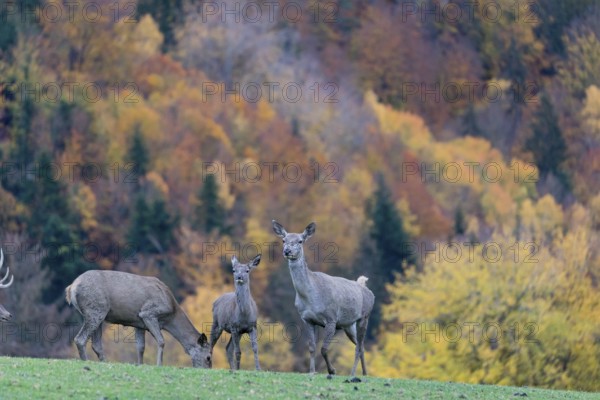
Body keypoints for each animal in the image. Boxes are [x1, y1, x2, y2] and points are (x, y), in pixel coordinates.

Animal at [65, 270, 211, 368]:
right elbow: (161, 341)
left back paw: (105, 362)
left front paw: (140, 364)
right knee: (80, 339)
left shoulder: (139, 323)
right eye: (208, 357)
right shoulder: (148, 313)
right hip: (95, 309)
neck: (171, 315)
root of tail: (71, 288)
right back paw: (86, 362)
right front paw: (159, 365)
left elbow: (141, 347)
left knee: (96, 344)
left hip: (99, 314)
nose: (206, 369)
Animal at [274, 220, 376, 376]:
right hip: (349, 324)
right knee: (361, 346)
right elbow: (311, 347)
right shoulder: (307, 319)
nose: (287, 251)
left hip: (364, 317)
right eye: (283, 240)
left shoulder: (331, 318)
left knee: (358, 347)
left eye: (300, 241)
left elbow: (323, 349)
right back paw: (364, 373)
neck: (310, 297)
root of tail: (368, 290)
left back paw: (353, 374)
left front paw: (332, 370)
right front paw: (312, 371)